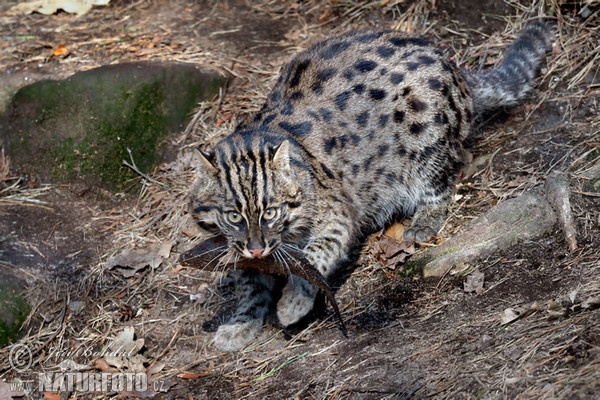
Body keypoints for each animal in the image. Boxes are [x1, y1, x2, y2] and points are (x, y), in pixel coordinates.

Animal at [190, 20, 552, 350]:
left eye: (270, 212)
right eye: (233, 216)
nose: (256, 247)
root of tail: (451, 63)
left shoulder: (336, 217)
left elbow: (315, 256)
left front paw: (293, 301)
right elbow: (250, 285)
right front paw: (240, 323)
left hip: (424, 130)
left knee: (442, 179)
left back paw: (423, 221)